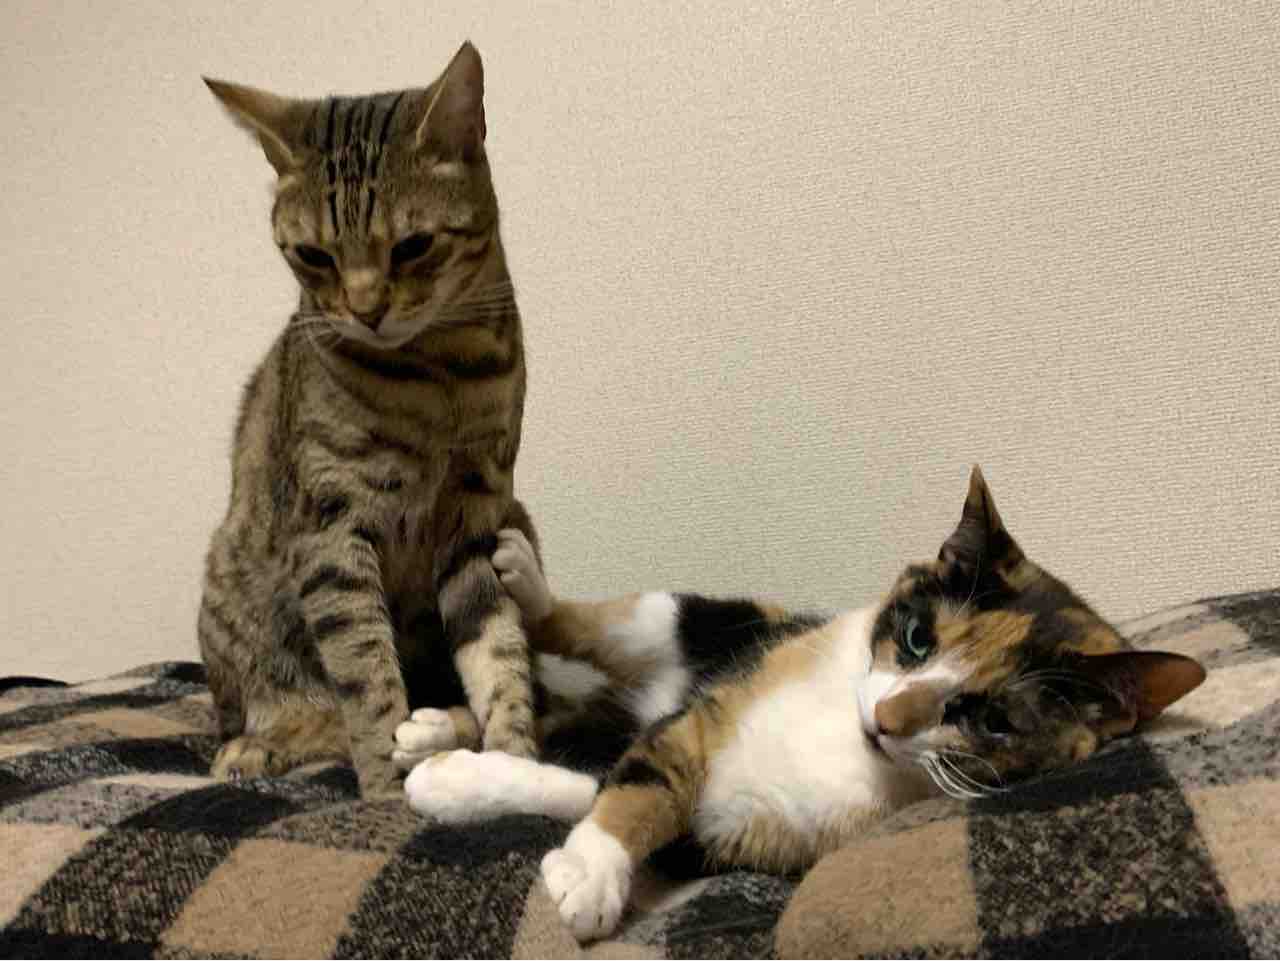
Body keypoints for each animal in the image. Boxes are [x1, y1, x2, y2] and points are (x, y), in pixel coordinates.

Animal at [197, 42, 541, 799]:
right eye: (313, 255)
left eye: (412, 245)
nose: (366, 309)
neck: (439, 374)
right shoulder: (332, 528)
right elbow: (365, 674)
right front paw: (388, 787)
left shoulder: (475, 514)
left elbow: (500, 656)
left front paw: (515, 762)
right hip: (232, 587)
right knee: (288, 710)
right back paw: (256, 747)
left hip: (518, 514)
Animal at [397, 466, 1206, 940]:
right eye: (917, 636)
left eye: (992, 719)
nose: (886, 719)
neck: (844, 739)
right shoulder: (711, 709)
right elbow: (643, 779)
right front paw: (587, 866)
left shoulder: (720, 830)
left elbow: (608, 785)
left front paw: (465, 788)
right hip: (715, 621)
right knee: (595, 629)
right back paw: (510, 595)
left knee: (582, 717)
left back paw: (434, 733)